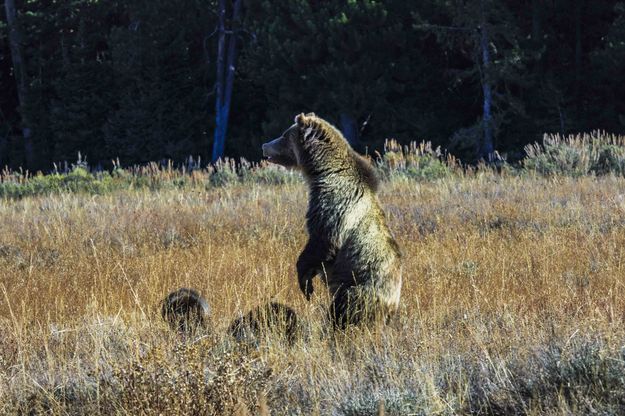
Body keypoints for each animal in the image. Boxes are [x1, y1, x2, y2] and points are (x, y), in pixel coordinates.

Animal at [260, 114, 402, 328]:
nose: (265, 145)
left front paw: (305, 283)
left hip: (358, 288)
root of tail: (392, 304)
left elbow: (323, 240)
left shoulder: (334, 203)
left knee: (343, 311)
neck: (323, 171)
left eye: (284, 135)